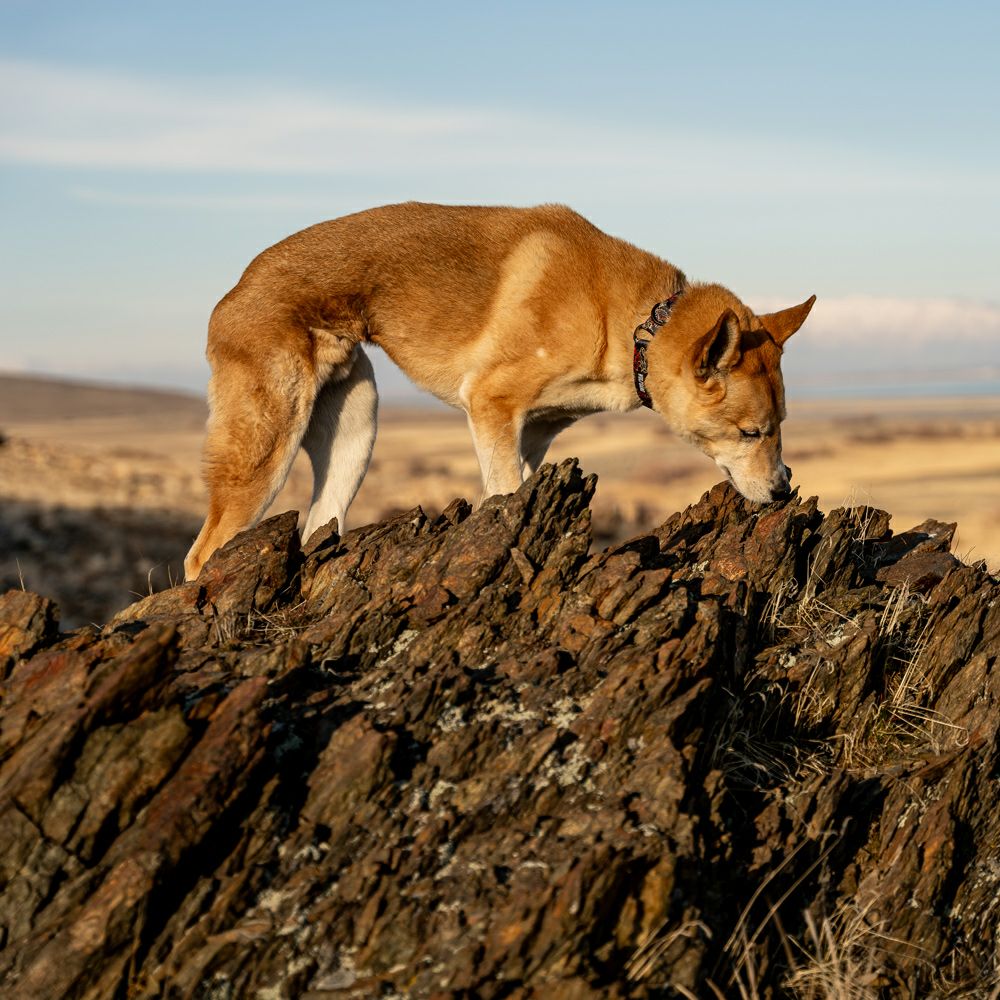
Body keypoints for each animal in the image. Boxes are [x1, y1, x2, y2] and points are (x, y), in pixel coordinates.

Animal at [184, 202, 814, 580]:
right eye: (750, 432)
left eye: (782, 427)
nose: (784, 489)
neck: (635, 323)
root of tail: (235, 289)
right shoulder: (490, 403)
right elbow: (505, 495)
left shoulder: (531, 431)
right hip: (266, 450)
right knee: (201, 556)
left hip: (355, 432)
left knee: (320, 521)